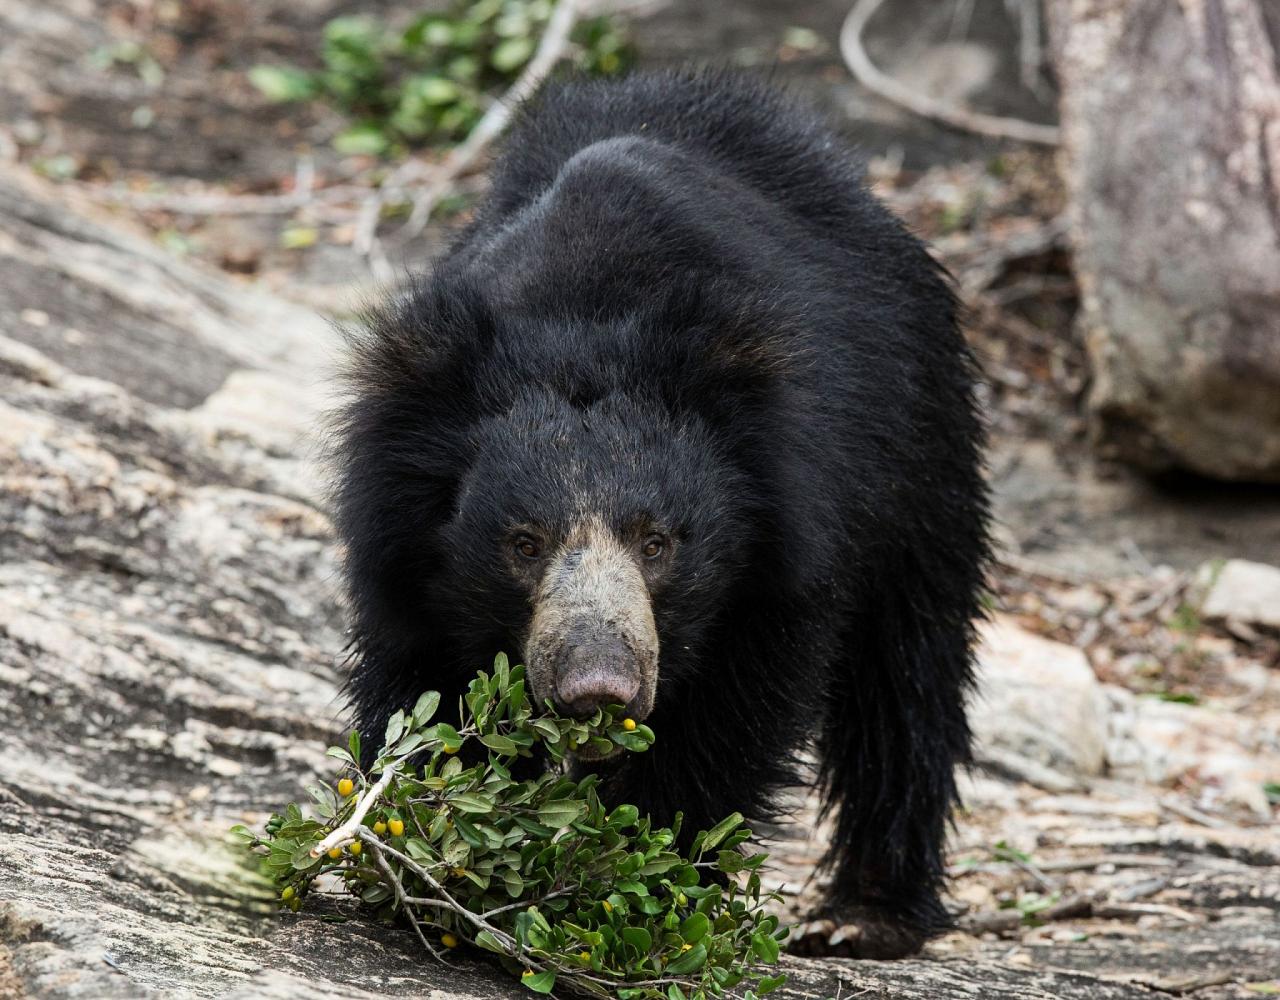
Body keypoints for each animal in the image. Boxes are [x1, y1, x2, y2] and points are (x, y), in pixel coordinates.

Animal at [330, 66, 988, 957]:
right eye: (523, 543)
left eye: (658, 543)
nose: (597, 688)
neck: (584, 315)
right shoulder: (399, 537)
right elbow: (426, 689)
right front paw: (444, 865)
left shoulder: (788, 540)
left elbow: (725, 721)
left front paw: (637, 883)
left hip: (925, 453)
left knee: (908, 671)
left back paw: (865, 916)